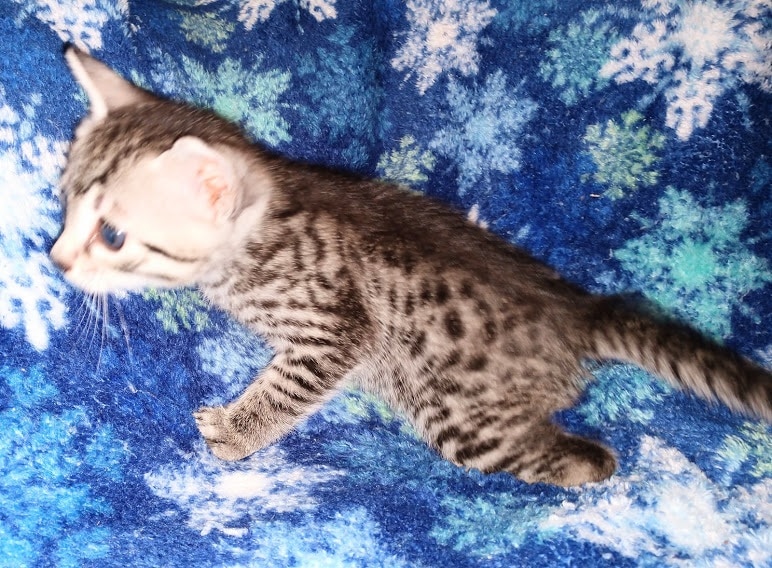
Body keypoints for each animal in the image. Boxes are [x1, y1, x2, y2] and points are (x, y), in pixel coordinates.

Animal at [51, 47, 772, 487]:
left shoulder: (338, 329)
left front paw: (237, 429)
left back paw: (587, 463)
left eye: (112, 235)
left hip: (456, 413)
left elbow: (288, 388)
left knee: (578, 457)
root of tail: (573, 307)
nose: (56, 259)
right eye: (63, 203)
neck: (265, 223)